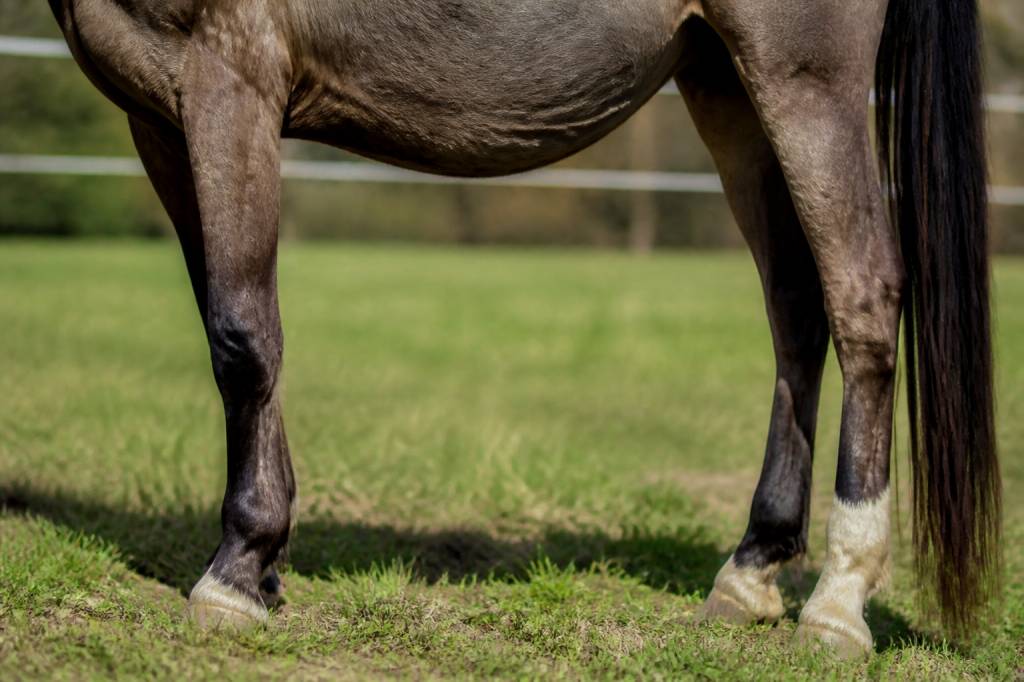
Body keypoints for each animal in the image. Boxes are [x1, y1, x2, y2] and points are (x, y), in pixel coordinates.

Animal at [47, 0, 1000, 657]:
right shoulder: (159, 118)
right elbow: (240, 331)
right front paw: (267, 563)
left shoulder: (227, 81)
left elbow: (243, 336)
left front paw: (237, 574)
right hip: (725, 81)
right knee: (796, 308)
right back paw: (752, 570)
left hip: (807, 78)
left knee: (863, 296)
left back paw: (838, 603)